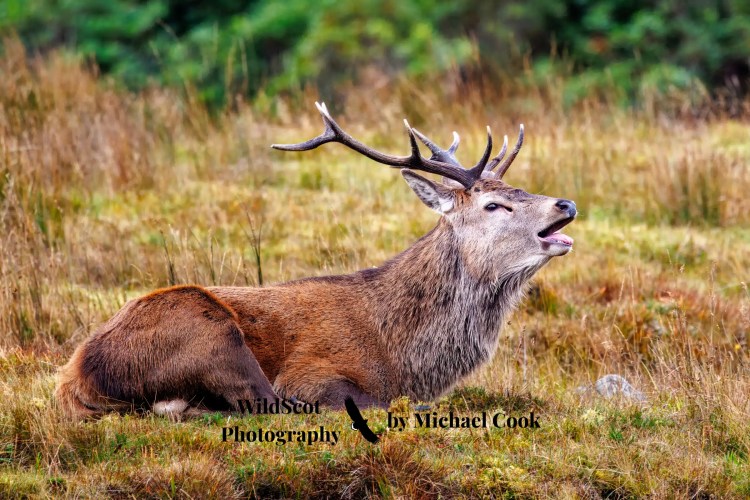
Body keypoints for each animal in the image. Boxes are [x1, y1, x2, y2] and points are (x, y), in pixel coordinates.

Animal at [55, 102, 576, 419]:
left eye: (518, 189)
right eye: (494, 205)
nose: (566, 204)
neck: (403, 355)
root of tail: (76, 375)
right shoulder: (312, 373)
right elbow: (368, 401)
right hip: (208, 327)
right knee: (265, 402)